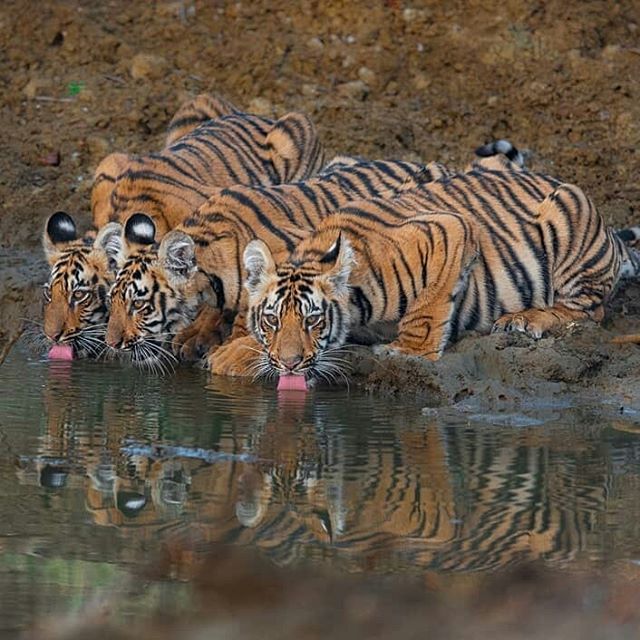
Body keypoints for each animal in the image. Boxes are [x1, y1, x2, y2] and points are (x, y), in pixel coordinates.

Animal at [236, 152, 640, 380]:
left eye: (312, 320)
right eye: (272, 320)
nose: (289, 364)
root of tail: (612, 236)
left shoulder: (450, 228)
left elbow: (427, 308)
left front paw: (408, 351)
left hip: (569, 212)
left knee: (590, 311)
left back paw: (525, 320)